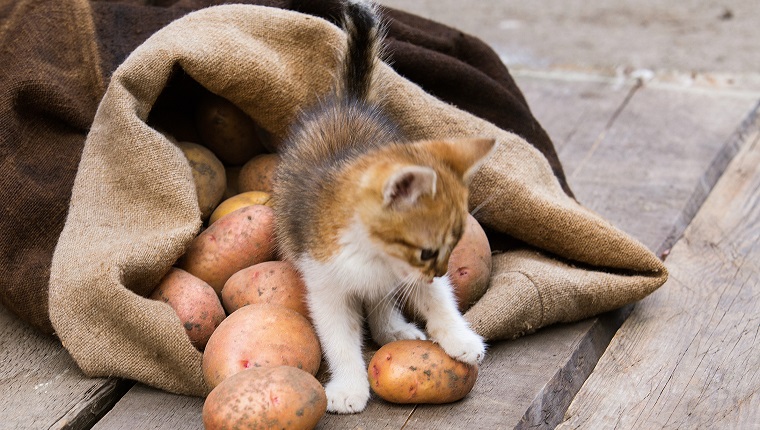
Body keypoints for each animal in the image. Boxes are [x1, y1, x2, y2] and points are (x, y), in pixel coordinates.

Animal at [274, 1, 492, 414]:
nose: (440, 271)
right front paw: (349, 387)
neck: (373, 254)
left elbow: (438, 300)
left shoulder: (410, 275)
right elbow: (340, 338)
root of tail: (351, 103)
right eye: (427, 251)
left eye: (452, 247)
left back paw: (393, 327)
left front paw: (460, 338)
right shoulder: (325, 284)